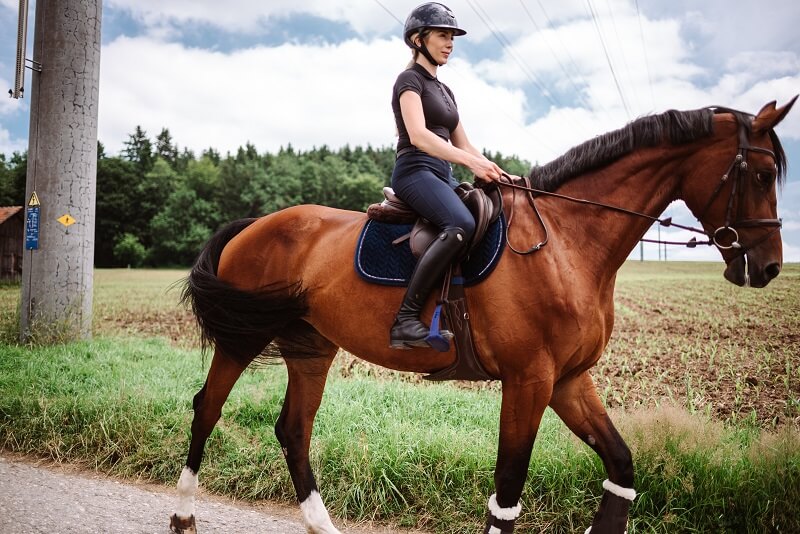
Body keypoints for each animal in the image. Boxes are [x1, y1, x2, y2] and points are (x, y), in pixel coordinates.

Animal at [167, 97, 792, 534]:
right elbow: (508, 490)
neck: (566, 241)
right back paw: (183, 515)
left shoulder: (568, 379)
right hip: (242, 339)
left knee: (293, 430)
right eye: (762, 176)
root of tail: (254, 224)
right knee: (207, 408)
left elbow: (620, 465)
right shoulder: (529, 379)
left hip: (310, 347)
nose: (767, 267)